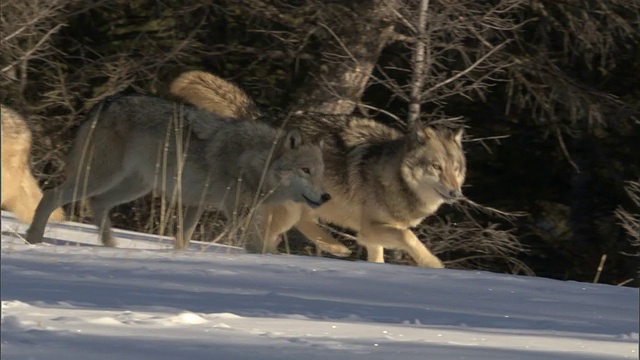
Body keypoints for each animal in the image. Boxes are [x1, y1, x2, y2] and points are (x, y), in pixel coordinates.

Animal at [172, 71, 468, 268]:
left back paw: (334, 247)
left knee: (298, 225)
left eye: (456, 169)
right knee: (272, 234)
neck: (394, 175)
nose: (456, 193)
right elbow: (409, 236)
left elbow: (380, 257)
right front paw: (434, 265)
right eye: (436, 167)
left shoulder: (372, 237)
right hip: (289, 207)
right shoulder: (370, 228)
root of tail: (263, 119)